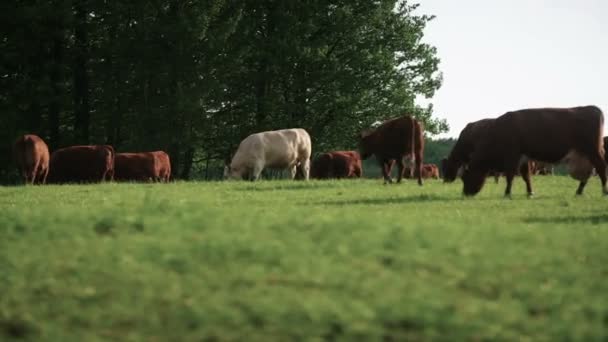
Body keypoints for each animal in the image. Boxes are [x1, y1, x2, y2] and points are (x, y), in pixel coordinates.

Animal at [460, 107, 608, 198]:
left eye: (466, 177)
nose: (465, 194)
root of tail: (591, 108)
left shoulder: (513, 156)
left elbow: (510, 176)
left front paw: (507, 193)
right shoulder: (524, 158)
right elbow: (526, 176)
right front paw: (530, 193)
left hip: (593, 150)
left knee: (601, 168)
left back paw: (604, 191)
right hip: (587, 155)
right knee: (588, 175)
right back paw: (578, 192)